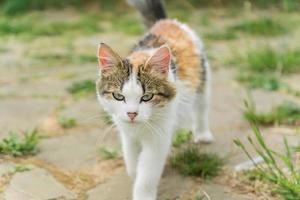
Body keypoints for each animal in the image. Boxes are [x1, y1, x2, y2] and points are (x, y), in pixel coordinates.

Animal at [96, 0, 213, 200]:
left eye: (147, 97)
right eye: (118, 96)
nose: (132, 114)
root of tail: (166, 21)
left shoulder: (158, 137)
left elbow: (147, 172)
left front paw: (143, 193)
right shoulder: (126, 132)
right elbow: (132, 160)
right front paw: (134, 173)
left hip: (203, 78)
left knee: (201, 108)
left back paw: (203, 134)